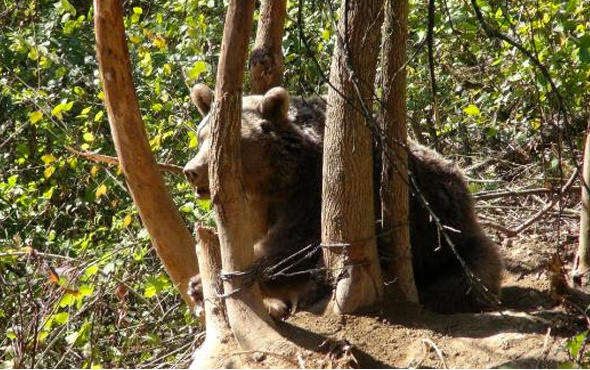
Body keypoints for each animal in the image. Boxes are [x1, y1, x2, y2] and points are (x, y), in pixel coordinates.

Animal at [184, 84, 504, 318]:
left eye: (225, 143)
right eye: (201, 136)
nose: (192, 170)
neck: (275, 181)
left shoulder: (313, 193)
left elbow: (293, 247)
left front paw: (204, 282)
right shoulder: (258, 205)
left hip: (445, 240)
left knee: (468, 276)